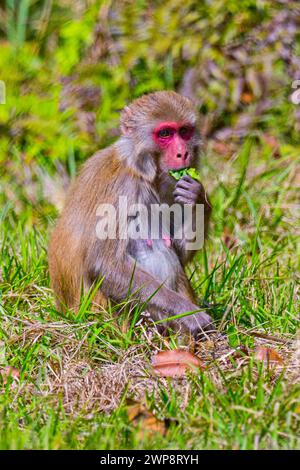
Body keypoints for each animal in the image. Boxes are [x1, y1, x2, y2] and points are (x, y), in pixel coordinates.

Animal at [48, 91, 213, 338]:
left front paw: (197, 196)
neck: (141, 170)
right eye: (165, 133)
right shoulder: (122, 189)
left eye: (184, 131)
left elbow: (178, 251)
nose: (183, 153)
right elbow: (105, 264)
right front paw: (190, 314)